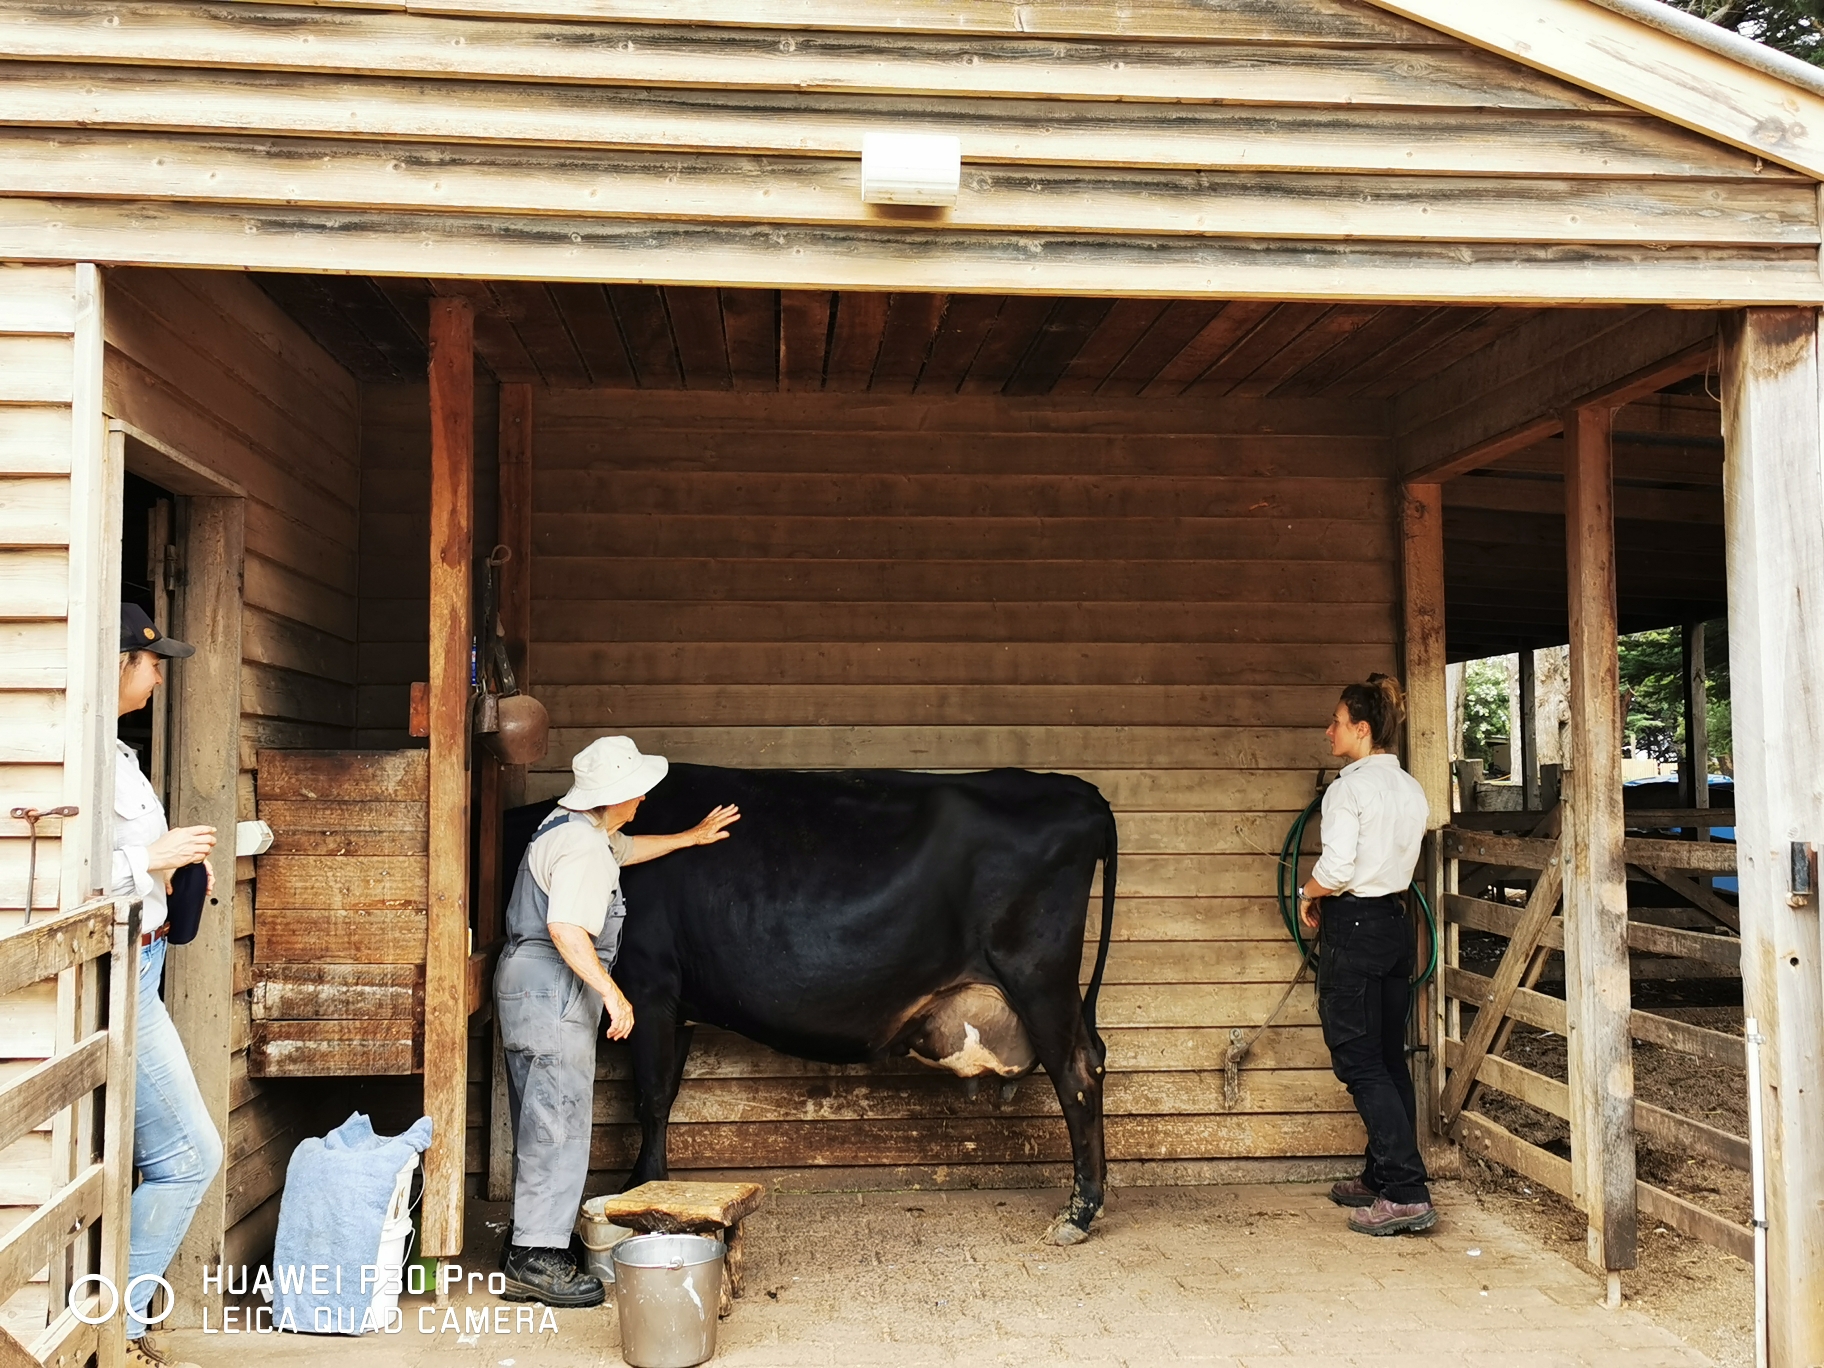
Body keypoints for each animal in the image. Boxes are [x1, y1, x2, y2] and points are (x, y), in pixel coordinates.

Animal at [590, 766, 1116, 1247]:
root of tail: (1081, 790)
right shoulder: (677, 1005)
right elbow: (665, 1094)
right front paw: (644, 1186)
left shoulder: (648, 982)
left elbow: (651, 1096)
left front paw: (640, 1186)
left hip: (1039, 978)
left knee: (1078, 1074)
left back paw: (1077, 1215)